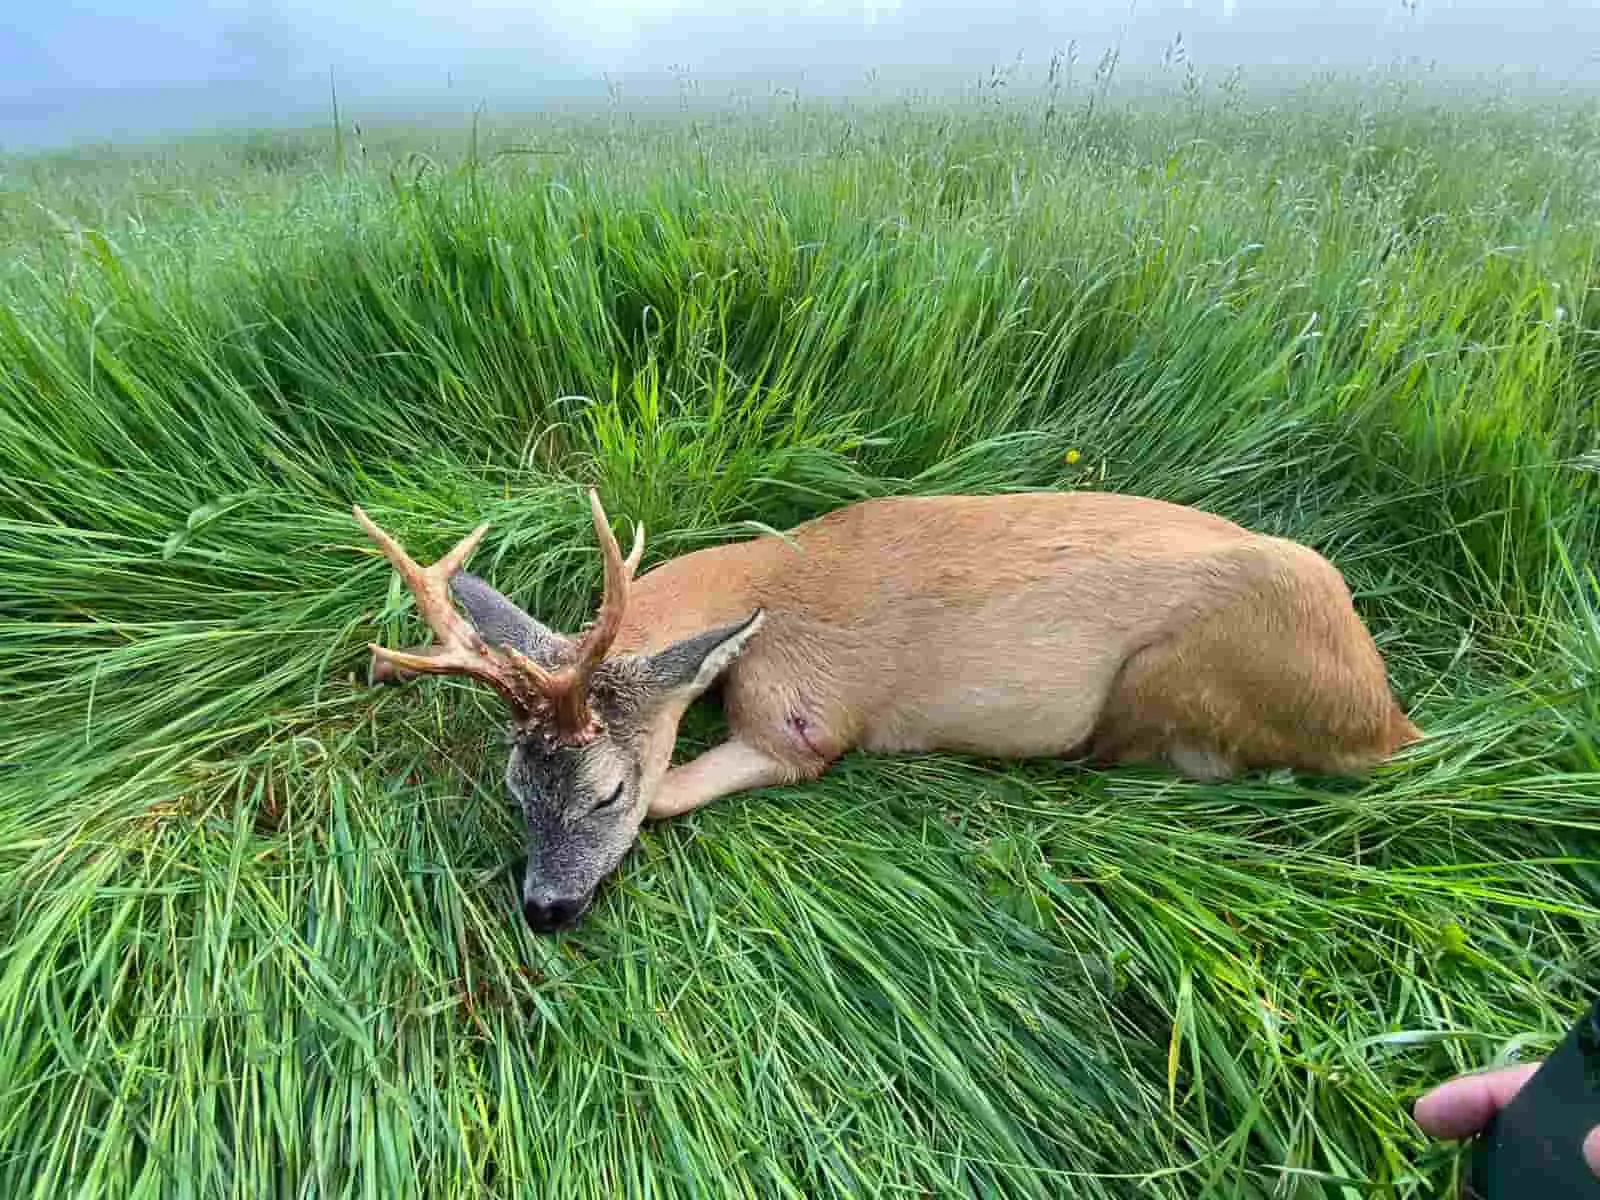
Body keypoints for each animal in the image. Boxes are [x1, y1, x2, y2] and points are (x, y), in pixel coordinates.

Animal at [353, 489, 1421, 932]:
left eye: (609, 789)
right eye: (513, 785)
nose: (545, 910)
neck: (765, 578)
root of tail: (1385, 718)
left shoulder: (801, 720)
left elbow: (679, 795)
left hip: (1172, 676)